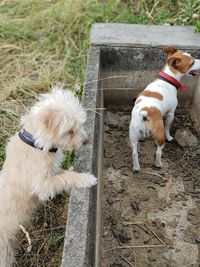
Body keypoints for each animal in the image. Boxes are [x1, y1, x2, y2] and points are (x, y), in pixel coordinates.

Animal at [0, 85, 97, 266]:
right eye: (70, 131)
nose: (86, 141)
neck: (35, 145)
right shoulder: (42, 185)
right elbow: (64, 178)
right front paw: (86, 178)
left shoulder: (51, 173)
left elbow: (62, 173)